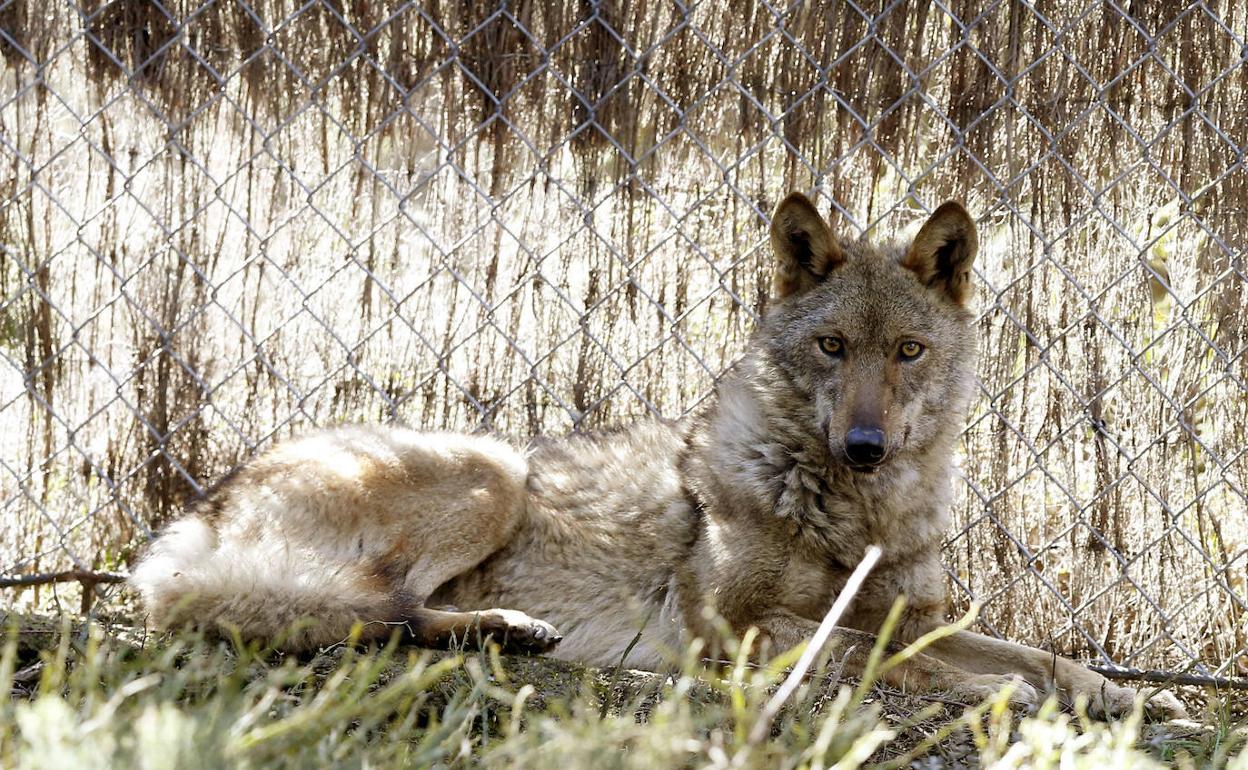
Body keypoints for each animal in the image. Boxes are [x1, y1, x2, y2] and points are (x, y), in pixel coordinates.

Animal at [129, 189, 1188, 718]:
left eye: (908, 352)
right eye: (831, 347)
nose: (865, 444)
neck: (858, 512)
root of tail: (189, 525)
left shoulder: (913, 610)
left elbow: (1031, 648)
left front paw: (1119, 697)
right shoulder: (741, 631)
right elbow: (880, 655)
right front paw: (999, 691)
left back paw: (514, 634)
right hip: (491, 470)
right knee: (370, 611)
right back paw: (520, 631)